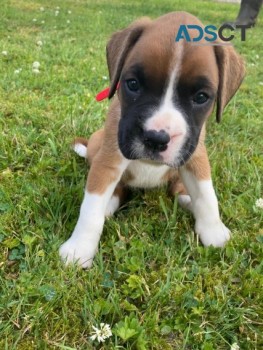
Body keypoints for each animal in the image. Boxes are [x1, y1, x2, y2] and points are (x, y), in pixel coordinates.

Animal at [59, 10, 245, 268]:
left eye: (201, 97)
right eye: (132, 84)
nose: (156, 139)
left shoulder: (195, 154)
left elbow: (207, 195)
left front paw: (214, 231)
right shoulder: (108, 161)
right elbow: (91, 209)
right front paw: (79, 249)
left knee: (178, 189)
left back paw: (186, 199)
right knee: (117, 190)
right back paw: (109, 204)